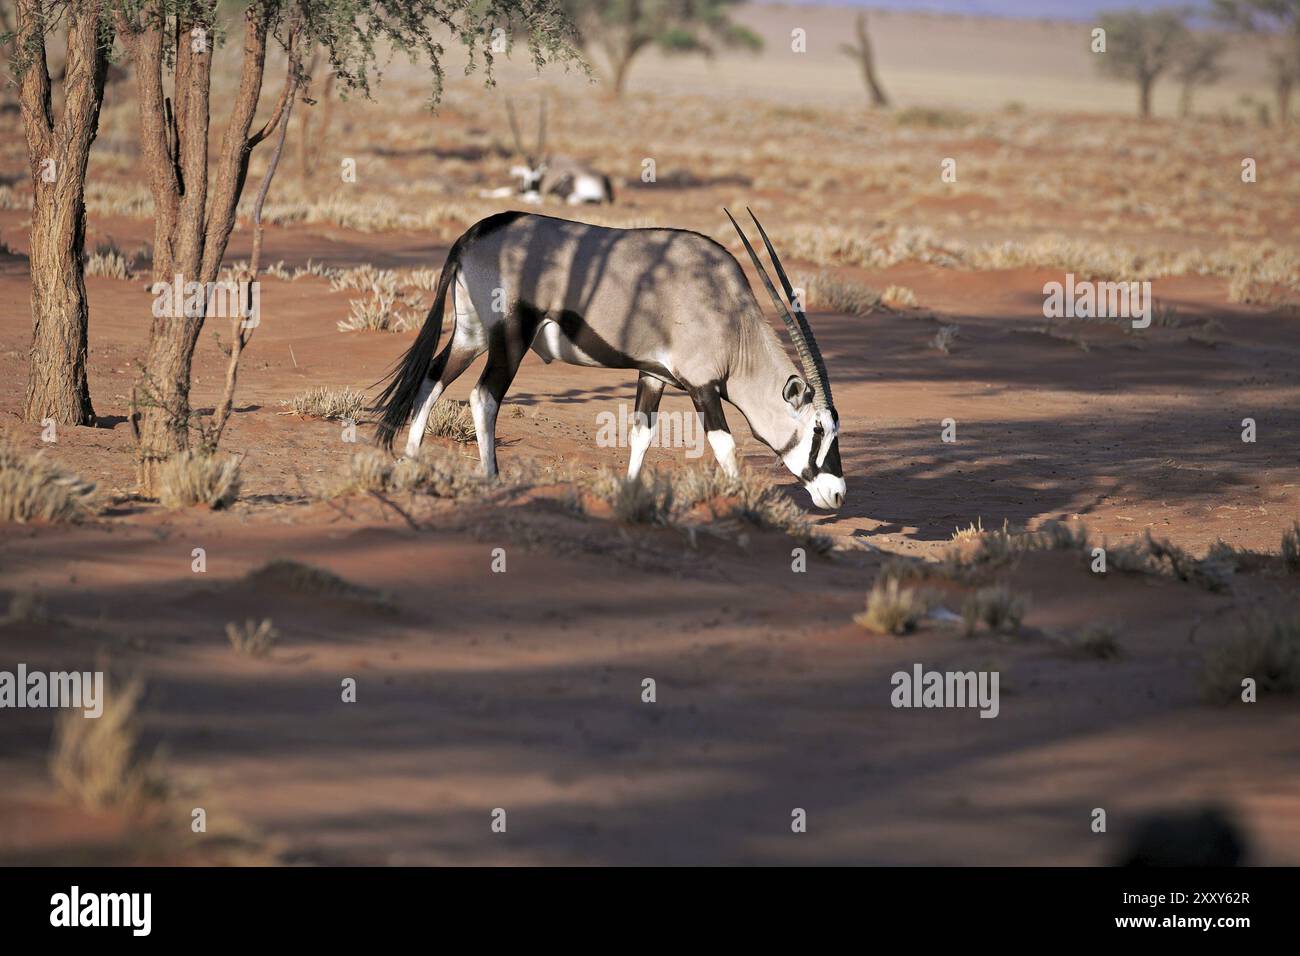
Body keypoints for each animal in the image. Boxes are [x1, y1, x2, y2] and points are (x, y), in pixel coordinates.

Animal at [371, 208, 847, 509]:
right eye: (818, 430)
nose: (838, 494)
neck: (732, 317)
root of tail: (475, 234)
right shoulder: (703, 387)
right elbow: (725, 444)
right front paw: (744, 504)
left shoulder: (653, 376)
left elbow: (642, 434)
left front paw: (630, 494)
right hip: (510, 339)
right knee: (484, 395)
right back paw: (491, 479)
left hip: (472, 335)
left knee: (434, 377)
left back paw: (411, 463)